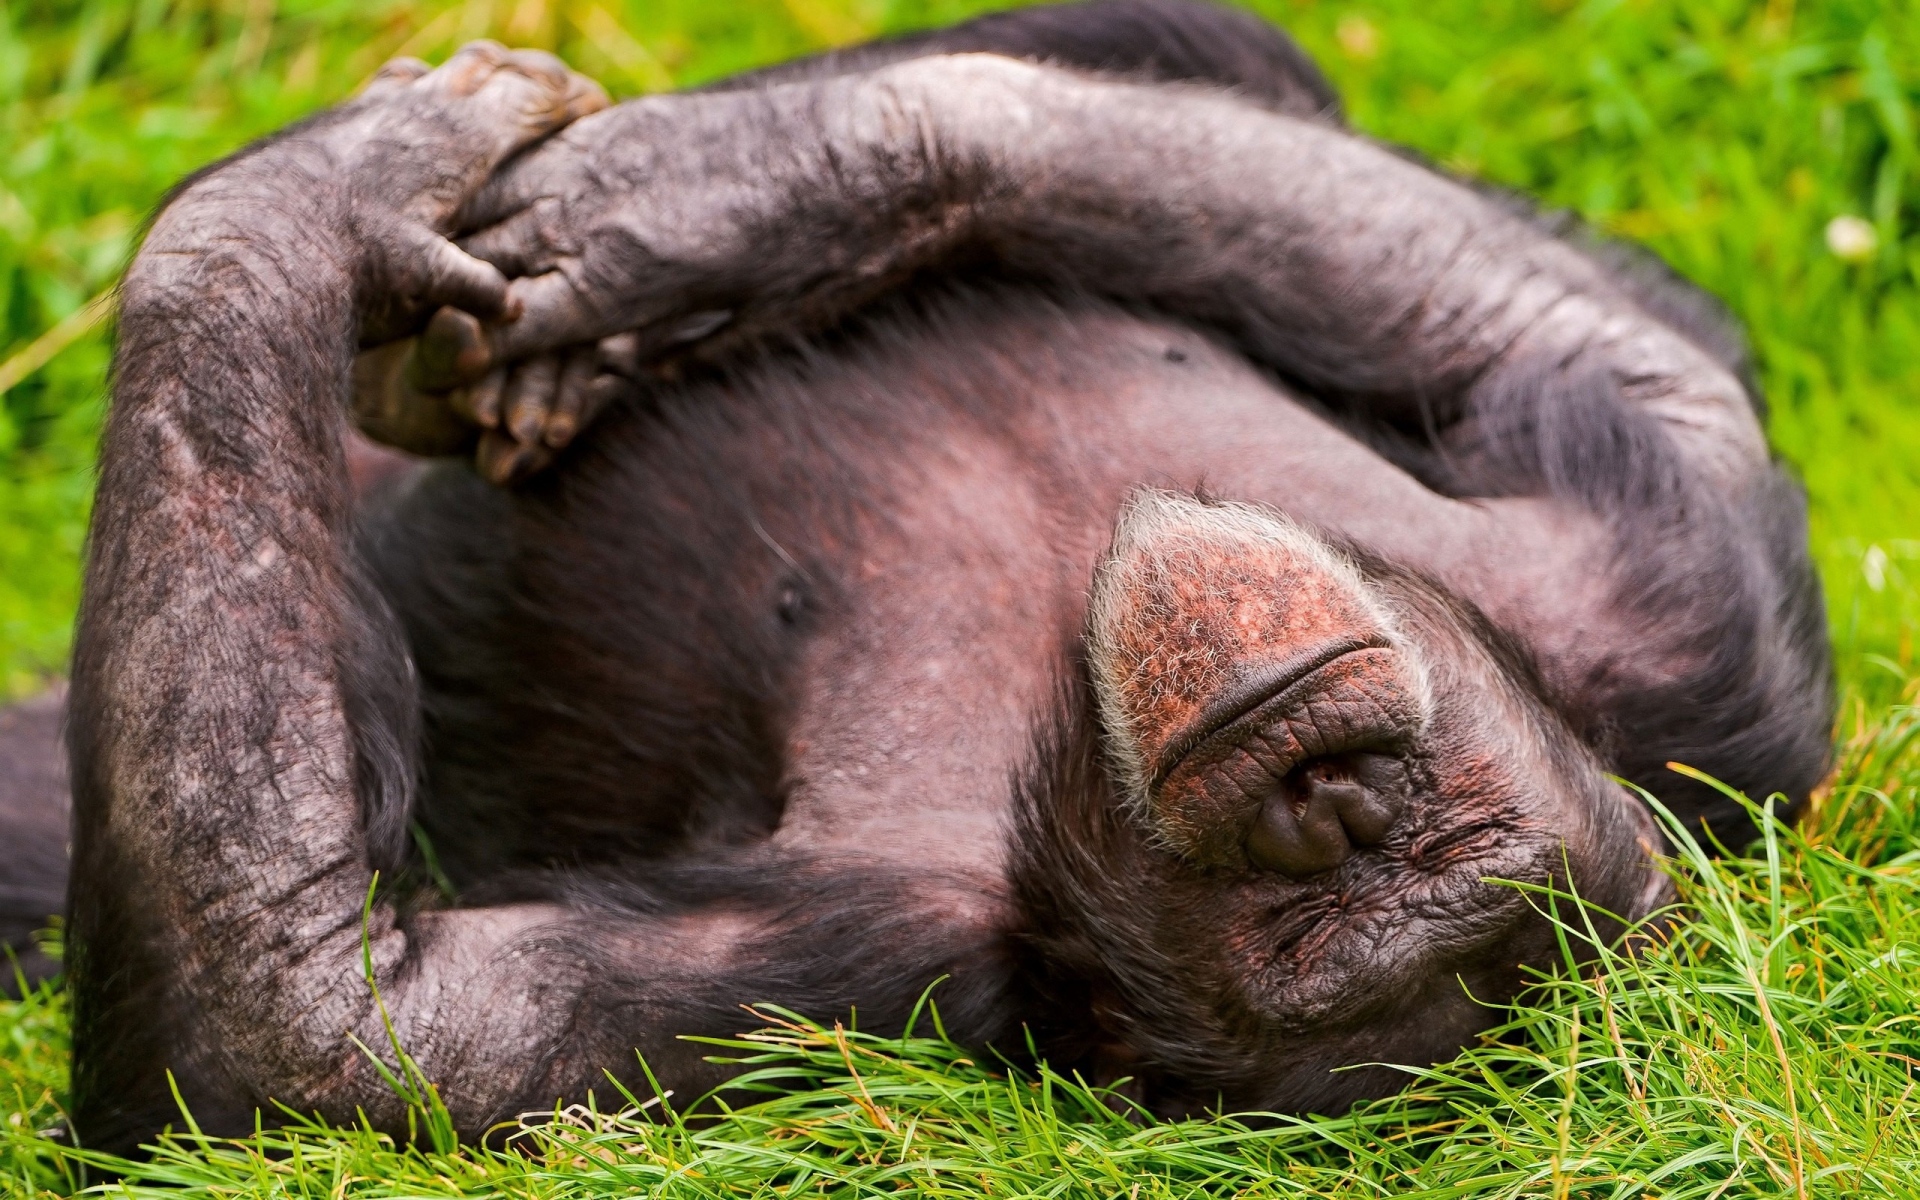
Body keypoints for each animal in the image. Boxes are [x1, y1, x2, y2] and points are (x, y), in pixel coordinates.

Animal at [24, 0, 1828, 1156]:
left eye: (1357, 926)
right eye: (1417, 842)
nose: (1328, 806)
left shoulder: (853, 972)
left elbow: (302, 1032)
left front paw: (301, 208)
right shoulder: (1666, 589)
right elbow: (1620, 350)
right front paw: (730, 190)